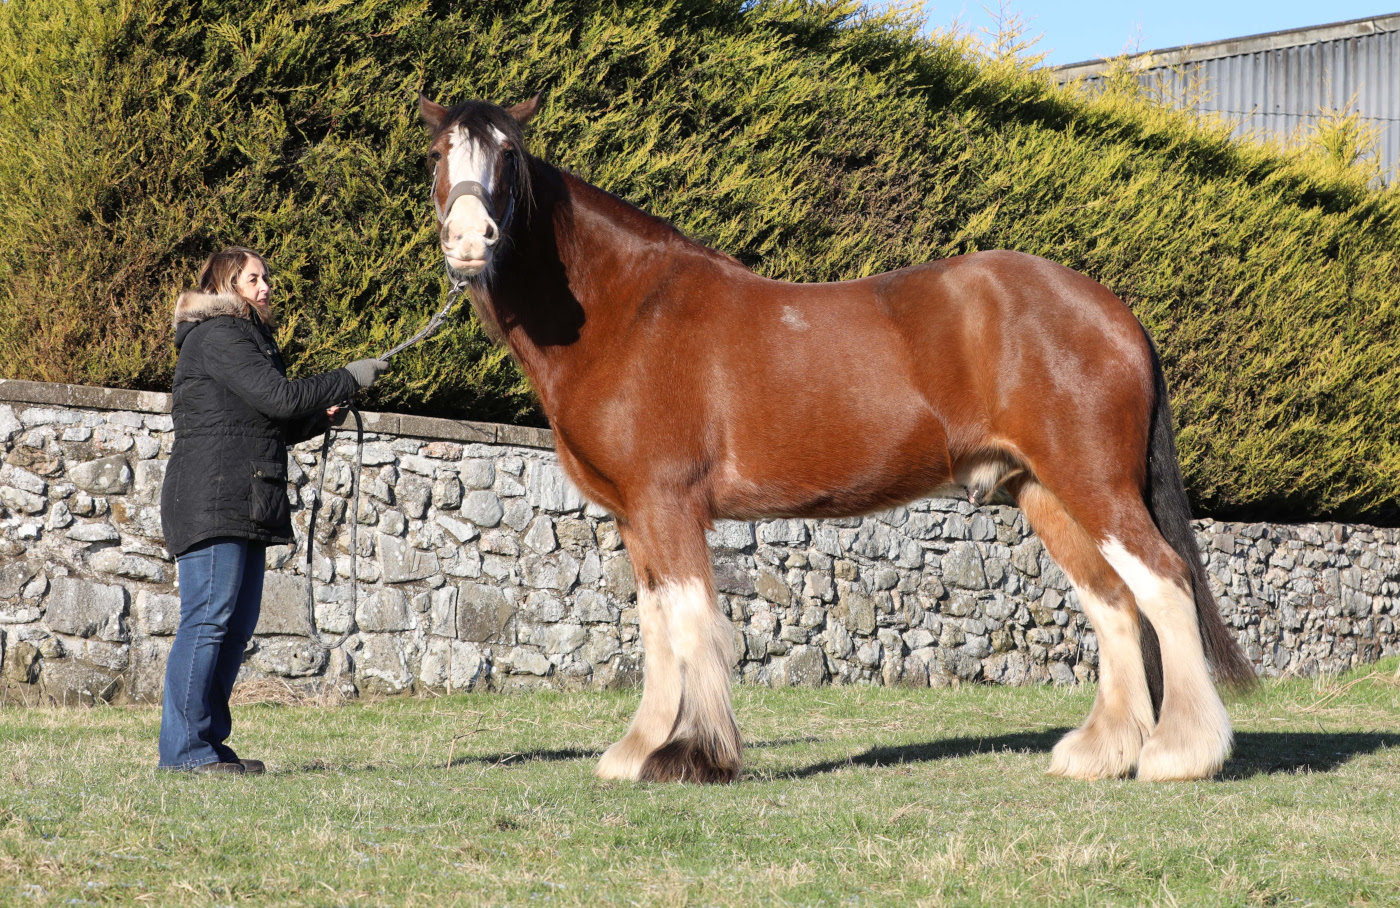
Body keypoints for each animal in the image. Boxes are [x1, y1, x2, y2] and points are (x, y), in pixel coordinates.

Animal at [416, 92, 1256, 784]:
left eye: (509, 156)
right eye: (436, 154)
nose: (469, 239)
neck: (630, 311)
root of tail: (1114, 312)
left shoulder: (667, 503)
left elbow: (688, 621)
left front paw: (694, 756)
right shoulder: (635, 515)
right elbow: (655, 625)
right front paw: (641, 748)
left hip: (1094, 483)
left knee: (1162, 581)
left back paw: (1179, 754)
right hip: (1046, 491)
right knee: (1113, 601)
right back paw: (1103, 752)